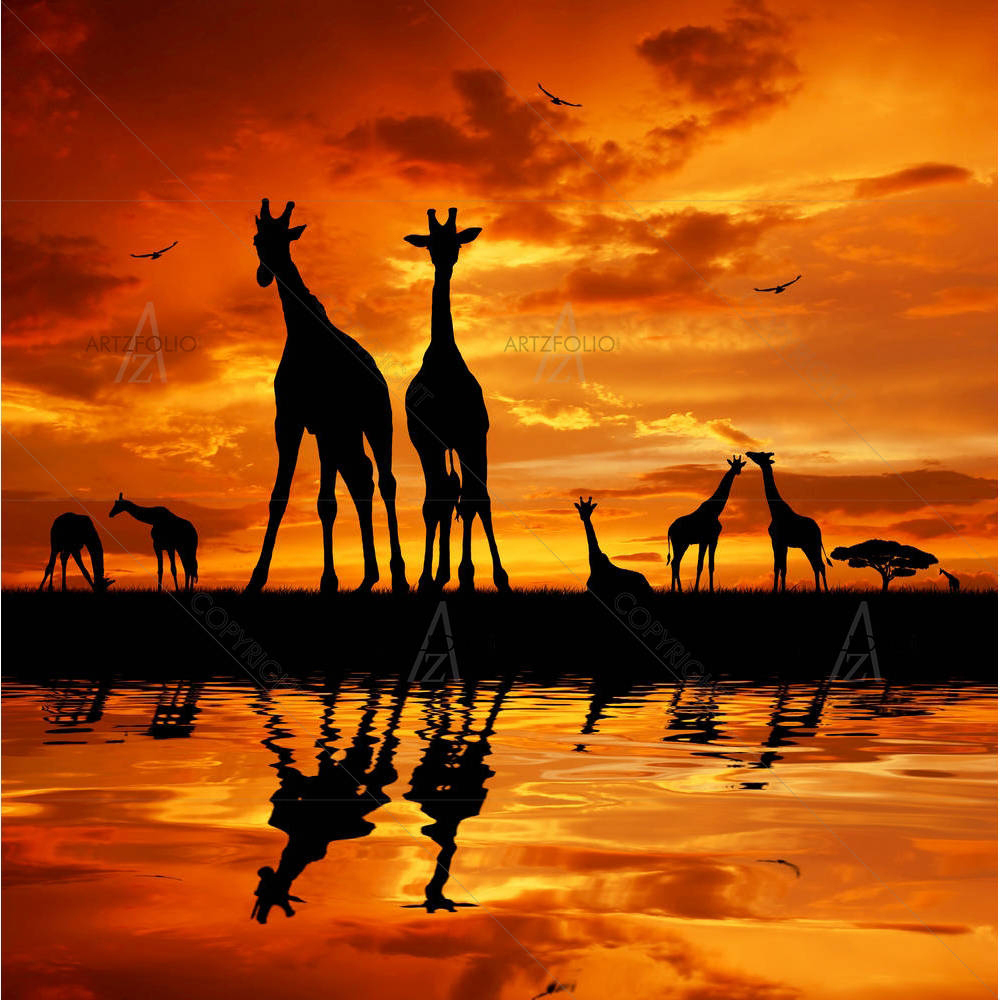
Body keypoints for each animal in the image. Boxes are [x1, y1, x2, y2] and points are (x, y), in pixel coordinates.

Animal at [245, 198, 407, 594]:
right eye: (257, 239)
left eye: (286, 238)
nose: (264, 275)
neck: (305, 336)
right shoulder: (291, 421)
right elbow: (280, 498)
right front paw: (256, 578)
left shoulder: (327, 422)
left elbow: (326, 502)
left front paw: (329, 579)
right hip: (345, 434)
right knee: (362, 478)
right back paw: (367, 578)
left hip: (376, 421)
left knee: (386, 481)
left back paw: (398, 576)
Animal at [404, 207, 509, 593]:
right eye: (430, 243)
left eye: (457, 242)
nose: (445, 259)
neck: (443, 361)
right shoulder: (427, 441)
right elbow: (433, 504)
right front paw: (426, 578)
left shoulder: (470, 436)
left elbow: (474, 498)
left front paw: (482, 575)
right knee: (448, 495)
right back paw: (441, 574)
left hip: (470, 442)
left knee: (472, 497)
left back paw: (476, 575)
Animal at [666, 455, 746, 592]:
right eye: (733, 464)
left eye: (740, 465)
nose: (738, 471)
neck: (716, 510)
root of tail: (670, 529)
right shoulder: (704, 540)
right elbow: (700, 565)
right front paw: (696, 590)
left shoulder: (713, 540)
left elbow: (711, 565)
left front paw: (711, 590)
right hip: (678, 543)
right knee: (675, 562)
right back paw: (676, 590)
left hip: (684, 544)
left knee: (675, 562)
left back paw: (677, 590)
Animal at [745, 451, 832, 592]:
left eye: (761, 454)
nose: (748, 453)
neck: (774, 510)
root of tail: (819, 530)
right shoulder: (782, 543)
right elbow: (781, 568)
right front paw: (780, 590)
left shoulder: (777, 541)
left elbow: (779, 567)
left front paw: (777, 590)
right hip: (806, 546)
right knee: (816, 565)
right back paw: (819, 589)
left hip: (812, 544)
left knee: (820, 565)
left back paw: (824, 590)